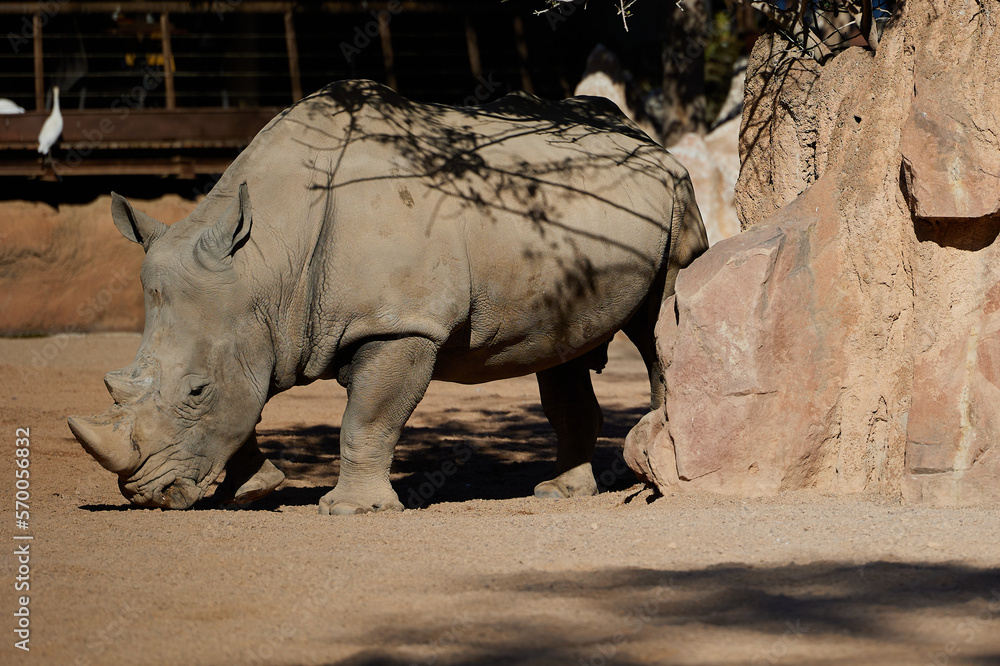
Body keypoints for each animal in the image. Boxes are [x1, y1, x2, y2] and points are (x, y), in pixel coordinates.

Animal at [67, 80, 708, 513]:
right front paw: (256, 488)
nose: (147, 495)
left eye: (196, 392)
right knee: (564, 353)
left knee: (659, 321)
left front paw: (350, 509)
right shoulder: (246, 323)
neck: (264, 263)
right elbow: (247, 400)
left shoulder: (401, 322)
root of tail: (647, 138)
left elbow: (367, 417)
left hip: (678, 199)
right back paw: (556, 494)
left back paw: (652, 477)